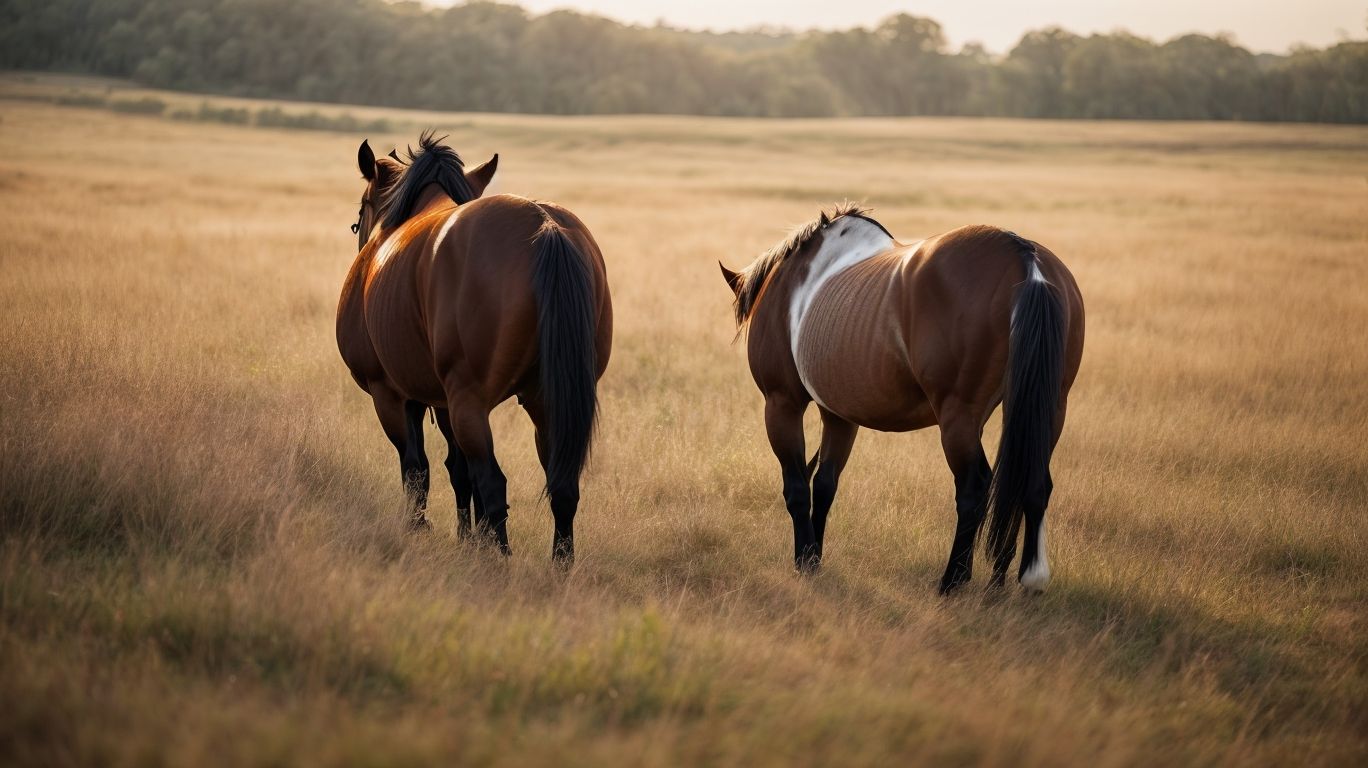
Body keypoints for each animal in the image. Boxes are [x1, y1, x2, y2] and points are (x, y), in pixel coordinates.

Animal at [338, 132, 613, 563]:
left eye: (364, 207)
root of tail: (545, 226)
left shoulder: (392, 394)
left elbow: (417, 467)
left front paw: (420, 529)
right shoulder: (441, 399)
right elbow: (457, 471)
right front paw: (466, 537)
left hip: (468, 400)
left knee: (493, 481)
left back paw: (498, 559)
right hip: (545, 399)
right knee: (561, 486)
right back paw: (557, 564)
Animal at [719, 205, 1084, 593]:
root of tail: (1025, 261)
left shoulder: (782, 403)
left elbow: (798, 488)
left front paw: (805, 560)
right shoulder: (839, 415)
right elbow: (825, 485)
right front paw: (815, 556)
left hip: (959, 417)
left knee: (974, 488)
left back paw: (953, 581)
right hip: (1049, 409)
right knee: (1031, 482)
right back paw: (1015, 580)